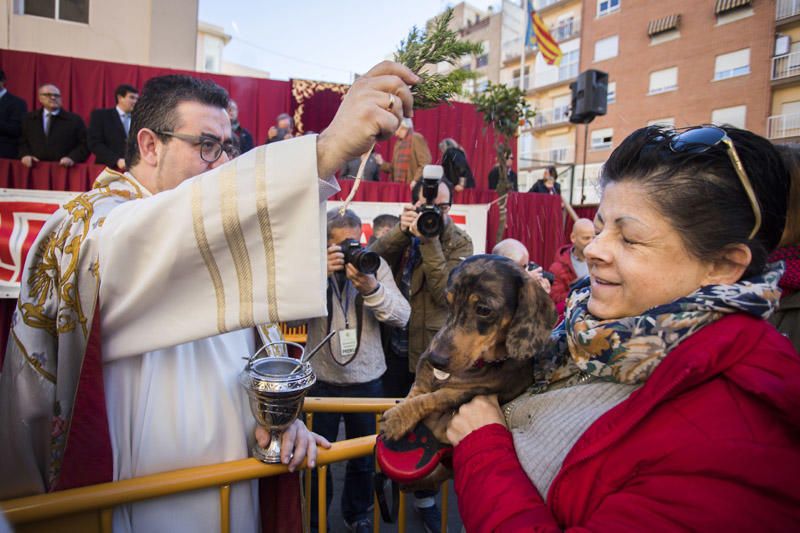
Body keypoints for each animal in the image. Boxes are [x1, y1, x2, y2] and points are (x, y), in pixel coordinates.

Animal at [382, 254, 556, 448]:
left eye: (484, 310)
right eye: (447, 301)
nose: (435, 359)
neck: (480, 363)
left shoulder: (470, 391)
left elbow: (435, 397)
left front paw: (397, 419)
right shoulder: (423, 373)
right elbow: (417, 391)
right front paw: (401, 411)